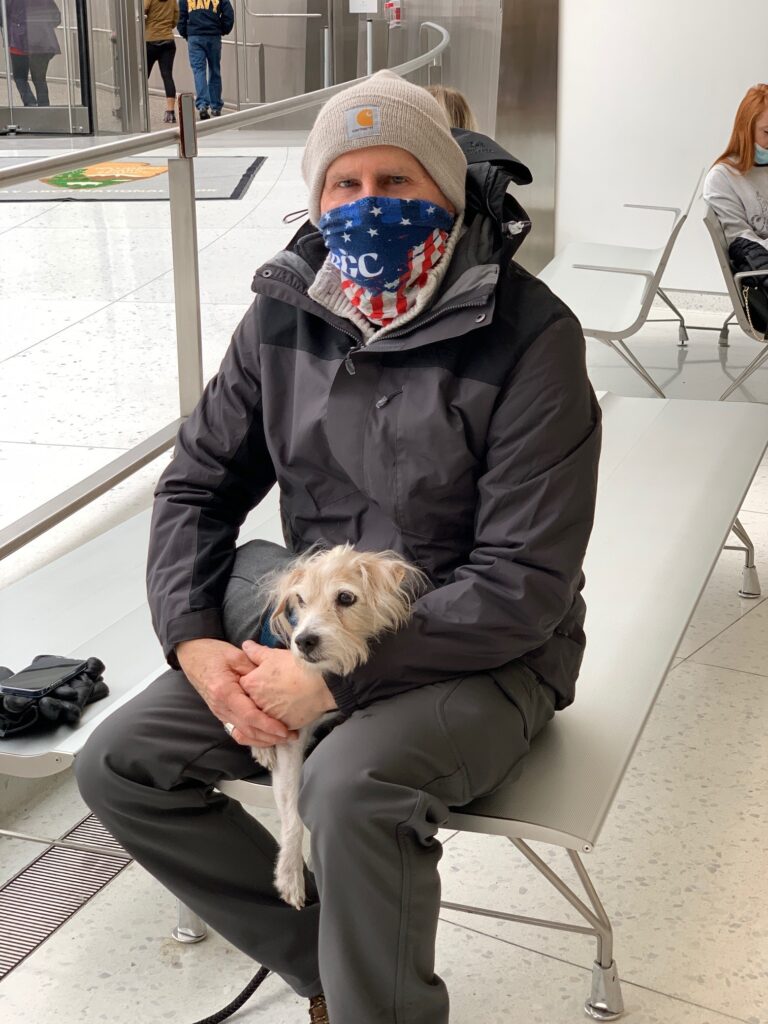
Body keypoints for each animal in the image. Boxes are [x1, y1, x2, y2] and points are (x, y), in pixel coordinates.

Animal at [252, 540, 423, 909]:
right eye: (300, 601)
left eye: (345, 598)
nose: (303, 641)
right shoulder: (290, 739)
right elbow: (292, 813)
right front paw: (290, 874)